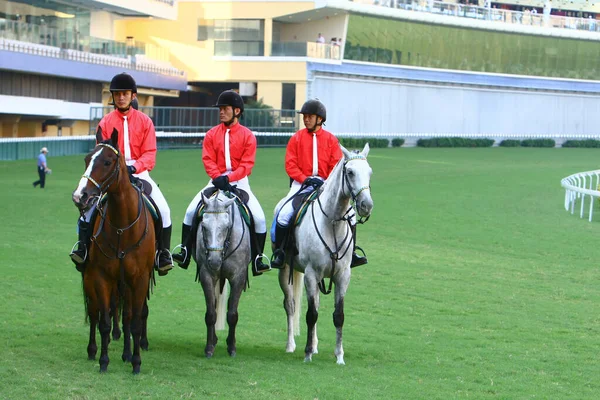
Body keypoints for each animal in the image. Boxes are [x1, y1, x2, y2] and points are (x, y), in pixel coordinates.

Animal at [72, 129, 155, 376]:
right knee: (95, 312)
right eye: (87, 159)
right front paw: (103, 361)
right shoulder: (101, 278)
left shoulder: (139, 279)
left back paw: (127, 354)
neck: (121, 228)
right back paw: (93, 350)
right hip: (92, 279)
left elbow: (134, 321)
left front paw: (136, 362)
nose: (80, 196)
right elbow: (104, 323)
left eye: (107, 162)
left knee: (126, 316)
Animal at [192, 189, 248, 358]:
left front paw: (232, 347)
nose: (215, 261)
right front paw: (209, 347)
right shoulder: (207, 275)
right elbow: (211, 313)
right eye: (203, 226)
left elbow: (232, 314)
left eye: (227, 226)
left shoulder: (238, 277)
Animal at [278, 144, 372, 366]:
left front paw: (339, 356)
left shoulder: (342, 276)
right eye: (350, 172)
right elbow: (311, 314)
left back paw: (315, 344)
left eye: (369, 172)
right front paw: (307, 354)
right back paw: (291, 345)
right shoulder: (311, 274)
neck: (332, 223)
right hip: (285, 270)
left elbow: (338, 315)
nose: (367, 205)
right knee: (290, 305)